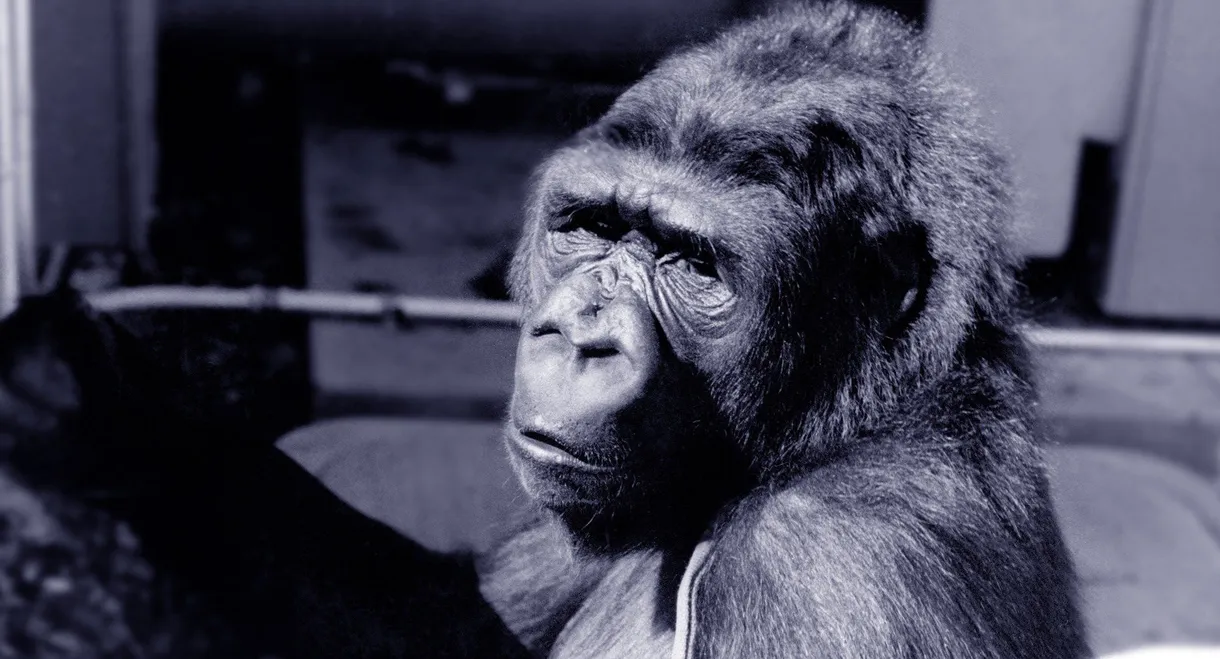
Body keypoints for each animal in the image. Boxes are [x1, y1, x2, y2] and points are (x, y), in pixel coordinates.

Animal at [0, 1, 1089, 657]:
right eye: (593, 226)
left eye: (691, 263)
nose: (580, 334)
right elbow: (444, 610)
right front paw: (114, 418)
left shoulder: (831, 574)